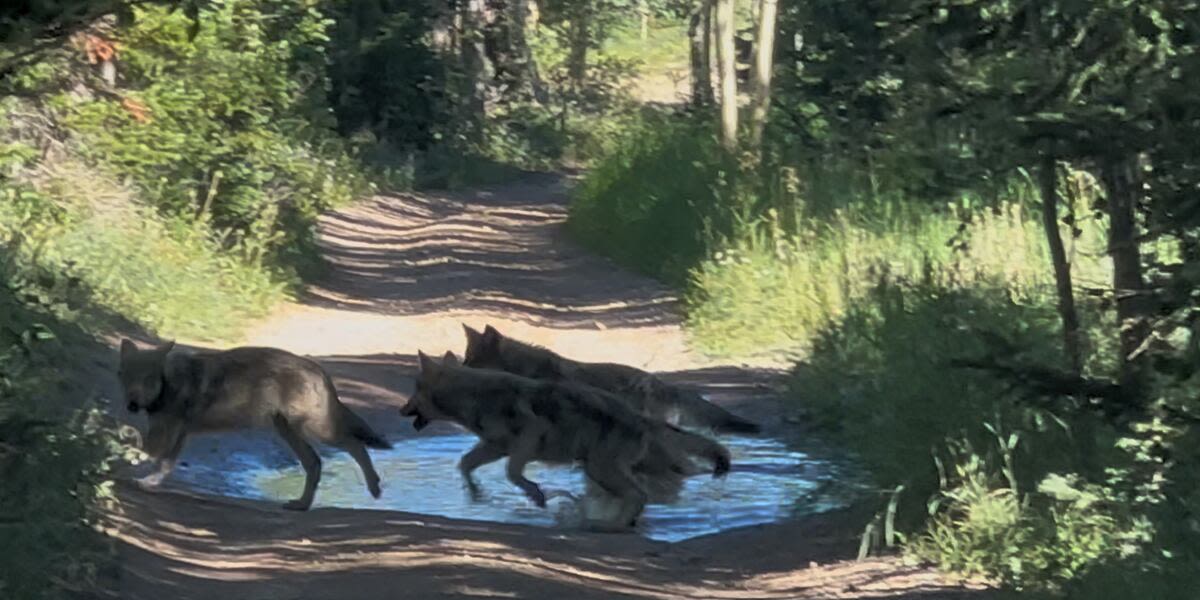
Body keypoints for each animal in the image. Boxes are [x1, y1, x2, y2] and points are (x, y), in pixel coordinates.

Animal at [118, 340, 388, 508]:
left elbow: (143, 452)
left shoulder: (166, 433)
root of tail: (318, 368)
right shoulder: (179, 435)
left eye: (147, 380)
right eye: (126, 377)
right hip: (288, 432)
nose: (131, 404)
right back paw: (301, 505)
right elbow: (164, 464)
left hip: (315, 430)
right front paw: (149, 482)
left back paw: (374, 487)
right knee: (316, 463)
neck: (167, 382)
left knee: (356, 445)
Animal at [400, 350, 729, 530]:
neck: (472, 396)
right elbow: (465, 464)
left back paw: (608, 525)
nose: (400, 410)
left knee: (640, 495)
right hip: (611, 469)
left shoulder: (525, 443)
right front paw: (476, 493)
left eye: (414, 390)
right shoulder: (494, 447)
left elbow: (512, 473)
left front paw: (536, 495)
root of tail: (642, 418)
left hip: (602, 470)